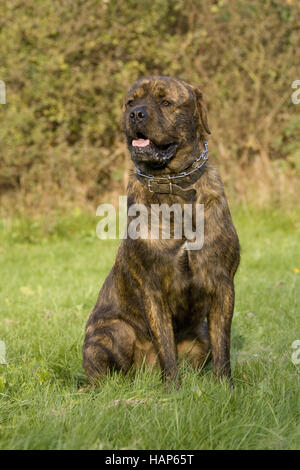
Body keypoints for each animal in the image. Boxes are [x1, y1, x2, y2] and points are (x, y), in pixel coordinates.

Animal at [81, 76, 239, 386]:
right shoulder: (152, 288)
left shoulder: (223, 283)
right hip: (111, 332)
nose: (136, 114)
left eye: (166, 102)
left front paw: (225, 387)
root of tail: (146, 372)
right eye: (130, 102)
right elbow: (166, 346)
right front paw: (173, 389)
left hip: (200, 335)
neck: (172, 183)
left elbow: (222, 346)